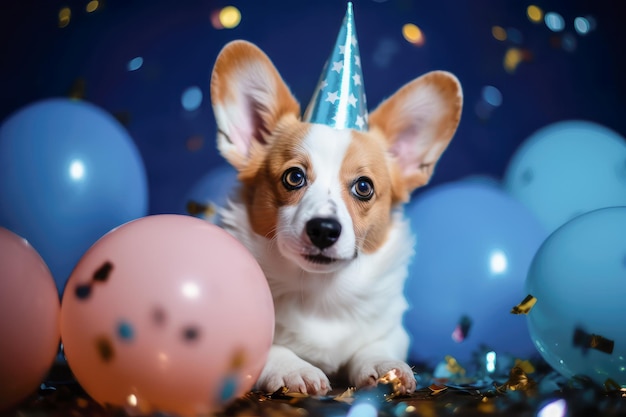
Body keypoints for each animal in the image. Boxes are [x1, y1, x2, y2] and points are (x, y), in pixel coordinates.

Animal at [208, 39, 458, 394]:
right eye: (294, 177)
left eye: (364, 187)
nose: (324, 230)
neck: (319, 292)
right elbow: (273, 348)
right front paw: (295, 369)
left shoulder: (392, 331)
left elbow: (374, 346)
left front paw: (386, 367)